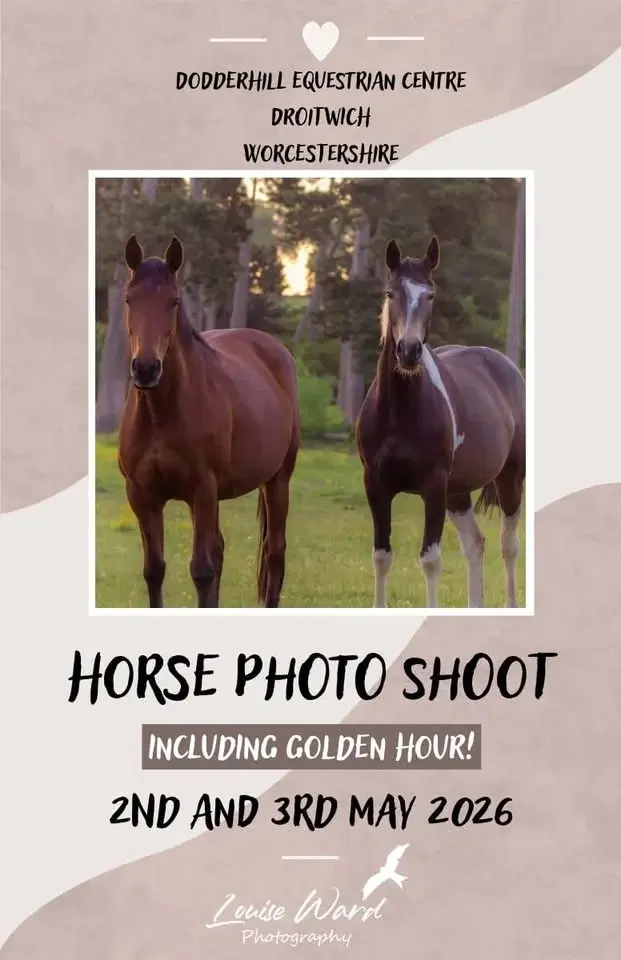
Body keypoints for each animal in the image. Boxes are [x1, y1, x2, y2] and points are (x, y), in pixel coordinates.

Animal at [117, 235, 300, 608]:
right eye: (129, 299)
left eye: (173, 302)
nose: (146, 368)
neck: (161, 415)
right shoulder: (142, 496)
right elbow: (154, 570)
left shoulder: (202, 490)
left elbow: (201, 570)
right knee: (221, 551)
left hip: (277, 480)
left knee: (274, 554)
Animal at [356, 237, 526, 609]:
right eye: (391, 293)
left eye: (430, 295)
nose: (408, 351)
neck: (400, 411)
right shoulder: (376, 485)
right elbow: (381, 557)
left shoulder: (433, 486)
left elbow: (430, 560)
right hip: (458, 492)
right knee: (475, 544)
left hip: (509, 479)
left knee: (508, 546)